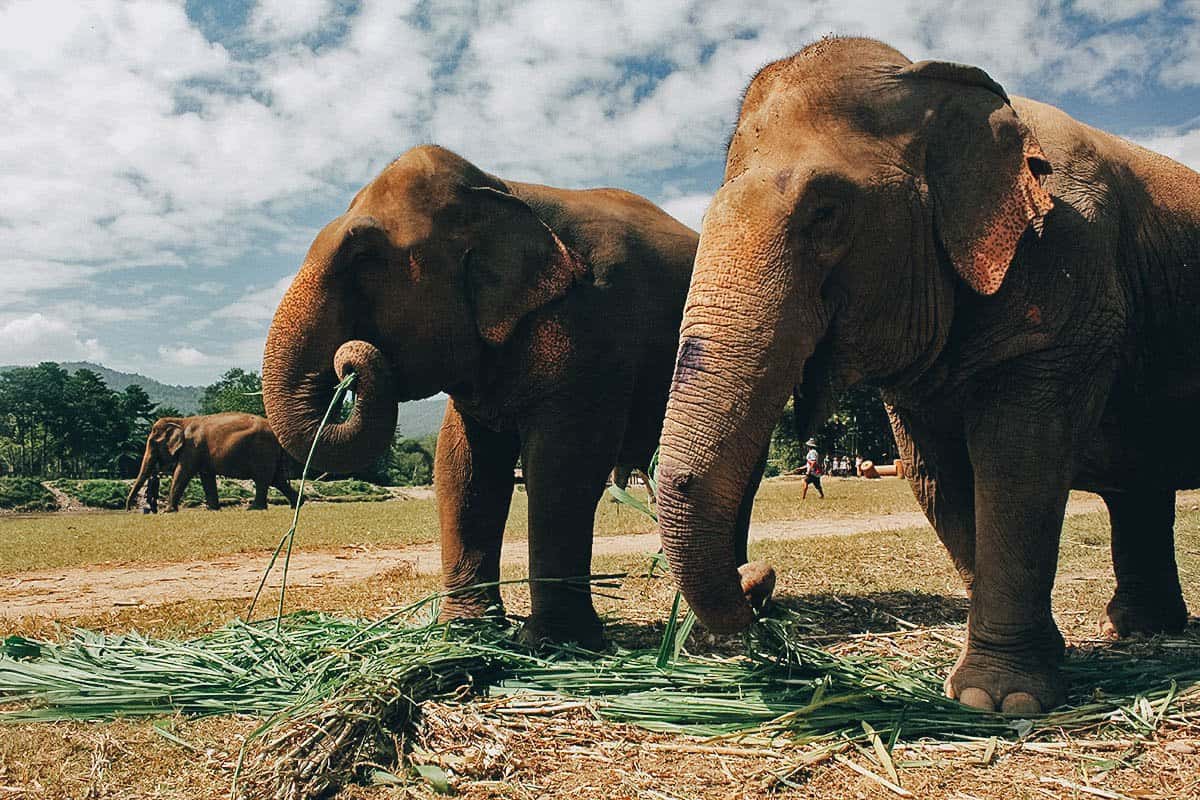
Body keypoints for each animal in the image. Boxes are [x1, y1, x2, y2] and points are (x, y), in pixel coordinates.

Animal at [124, 412, 300, 513]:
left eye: (152, 443)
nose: (128, 508)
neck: (181, 421)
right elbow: (206, 477)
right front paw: (212, 509)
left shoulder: (192, 448)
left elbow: (182, 473)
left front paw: (168, 512)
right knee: (277, 479)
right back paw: (297, 504)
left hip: (262, 451)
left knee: (263, 479)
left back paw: (253, 509)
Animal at [264, 145, 763, 652]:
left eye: (363, 257)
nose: (348, 363)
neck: (503, 189)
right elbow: (463, 465)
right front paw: (466, 632)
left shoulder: (597, 329)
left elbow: (564, 462)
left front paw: (552, 643)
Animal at [657, 35, 1200, 714]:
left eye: (826, 212)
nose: (758, 580)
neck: (940, 87)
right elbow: (935, 475)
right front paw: (1030, 668)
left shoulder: (1068, 274)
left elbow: (1018, 463)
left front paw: (997, 701)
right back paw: (1138, 630)